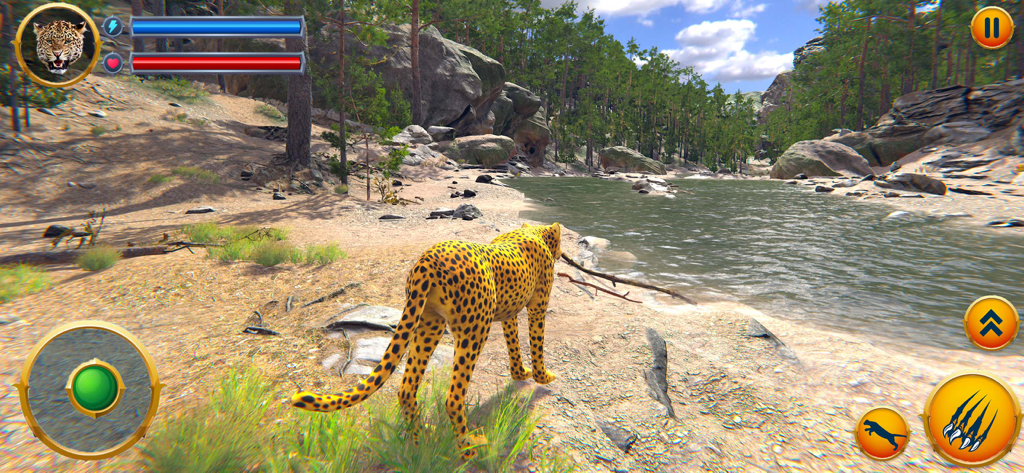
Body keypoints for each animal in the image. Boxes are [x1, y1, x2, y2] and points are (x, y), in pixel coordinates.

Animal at [290, 222, 563, 459]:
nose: (562, 252)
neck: (534, 232)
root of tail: (427, 260)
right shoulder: (537, 308)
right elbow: (537, 343)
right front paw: (543, 376)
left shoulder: (509, 314)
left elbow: (514, 343)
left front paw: (520, 373)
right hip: (474, 330)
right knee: (453, 398)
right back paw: (469, 448)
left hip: (428, 323)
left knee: (406, 389)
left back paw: (419, 442)